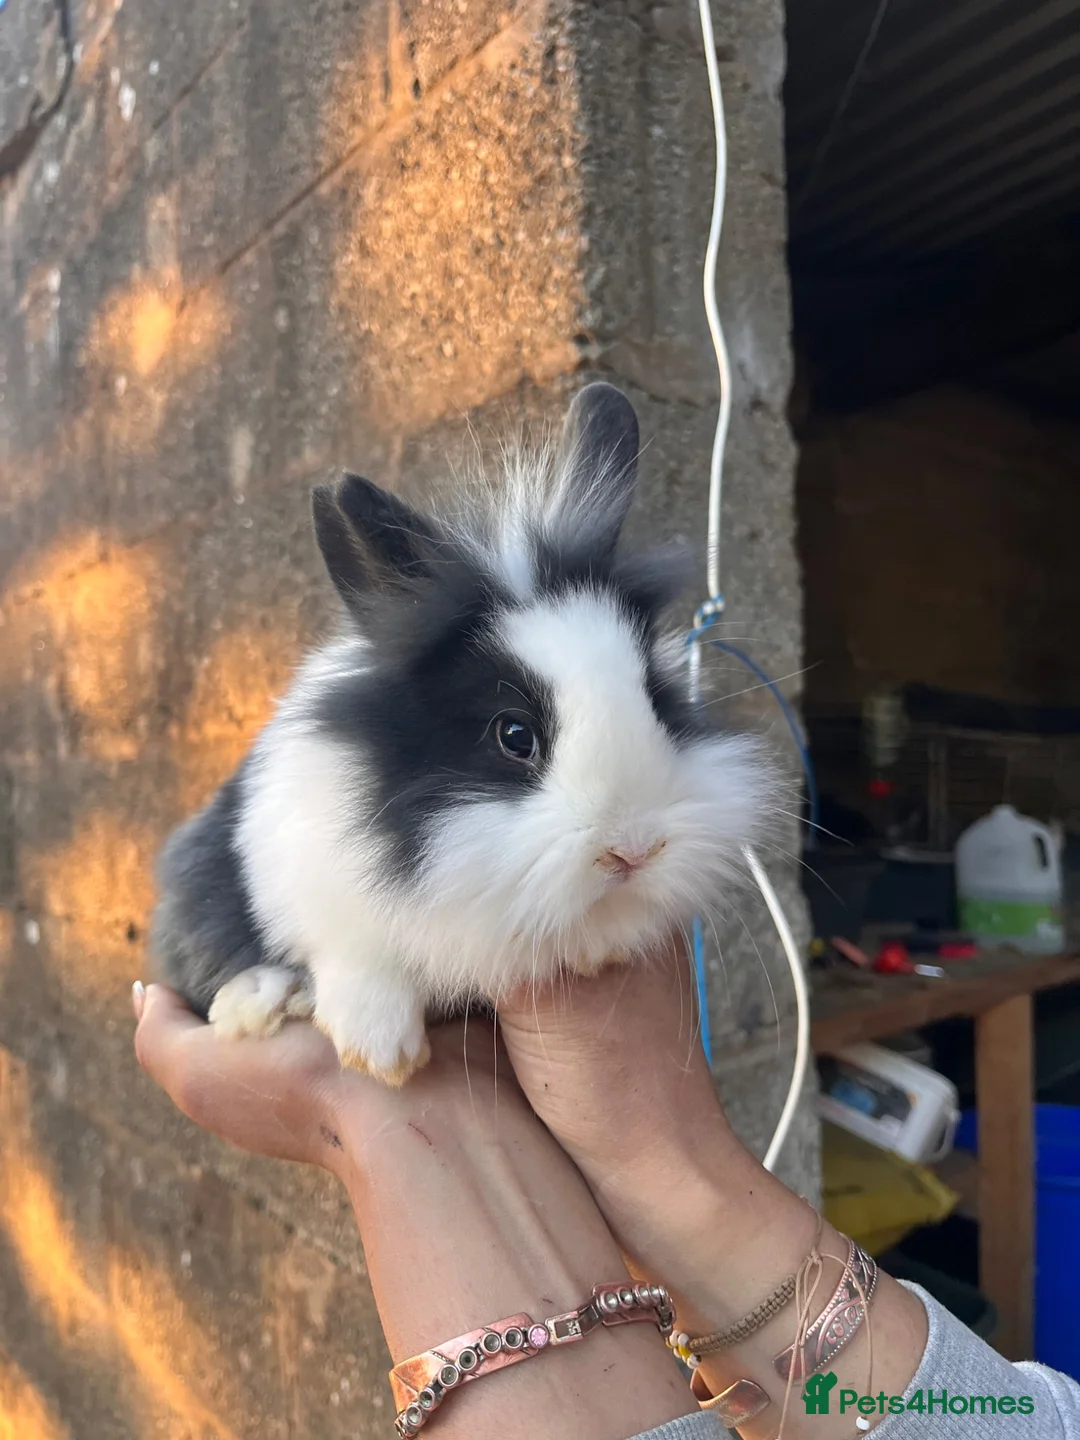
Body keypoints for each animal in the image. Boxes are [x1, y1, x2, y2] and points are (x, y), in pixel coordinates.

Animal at [149, 383, 775, 1085]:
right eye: (515, 735)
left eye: (659, 700)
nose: (633, 852)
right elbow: (351, 953)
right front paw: (380, 1050)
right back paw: (256, 1002)